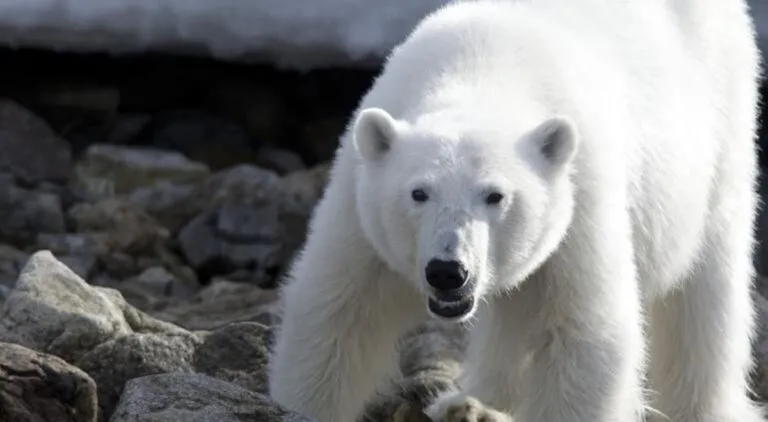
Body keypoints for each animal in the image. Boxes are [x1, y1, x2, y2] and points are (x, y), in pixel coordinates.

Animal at [268, 0, 764, 421]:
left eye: (495, 196)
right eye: (418, 193)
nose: (448, 271)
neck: (481, 69)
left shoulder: (579, 199)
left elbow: (582, 333)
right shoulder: (361, 201)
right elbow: (338, 311)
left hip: (721, 130)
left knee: (704, 291)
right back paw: (468, 402)